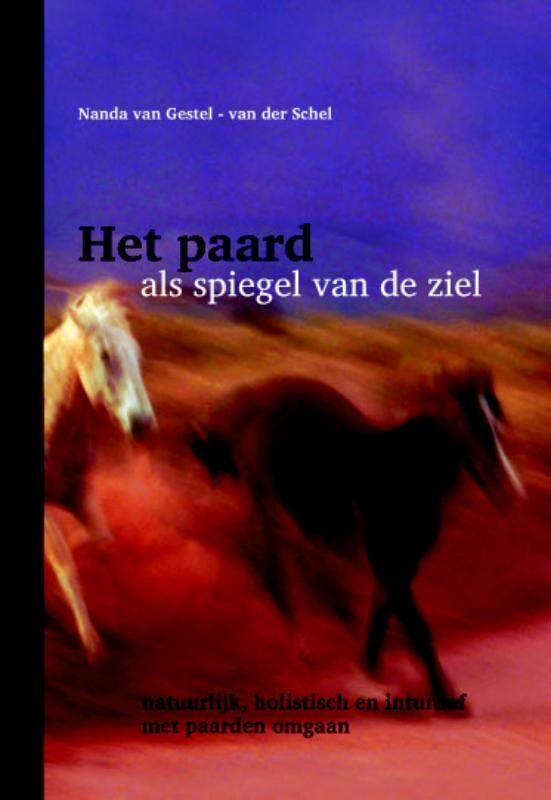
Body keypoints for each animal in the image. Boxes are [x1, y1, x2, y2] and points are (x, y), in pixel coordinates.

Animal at [44, 281, 156, 661]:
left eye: (138, 355)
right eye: (105, 355)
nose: (142, 425)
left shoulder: (79, 493)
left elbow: (101, 542)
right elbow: (64, 561)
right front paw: (92, 642)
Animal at [189, 366, 525, 704]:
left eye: (497, 419)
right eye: (459, 419)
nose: (508, 491)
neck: (408, 472)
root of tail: (251, 396)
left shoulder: (402, 562)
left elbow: (386, 608)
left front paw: (376, 670)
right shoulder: (385, 558)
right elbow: (413, 623)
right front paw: (438, 695)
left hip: (305, 516)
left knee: (304, 569)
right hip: (263, 497)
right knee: (270, 564)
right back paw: (299, 647)